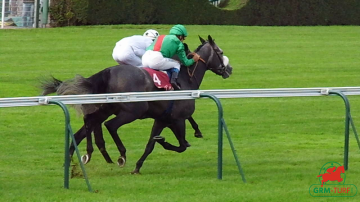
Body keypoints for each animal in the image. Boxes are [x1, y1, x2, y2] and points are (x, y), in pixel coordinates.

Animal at [40, 35, 232, 174]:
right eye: (220, 52)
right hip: (131, 111)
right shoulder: (178, 119)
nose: (229, 69)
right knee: (109, 125)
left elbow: (150, 145)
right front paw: (169, 141)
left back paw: (84, 156)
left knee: (88, 124)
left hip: (106, 109)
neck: (186, 78)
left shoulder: (162, 120)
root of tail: (107, 72)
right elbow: (182, 145)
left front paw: (139, 166)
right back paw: (120, 155)